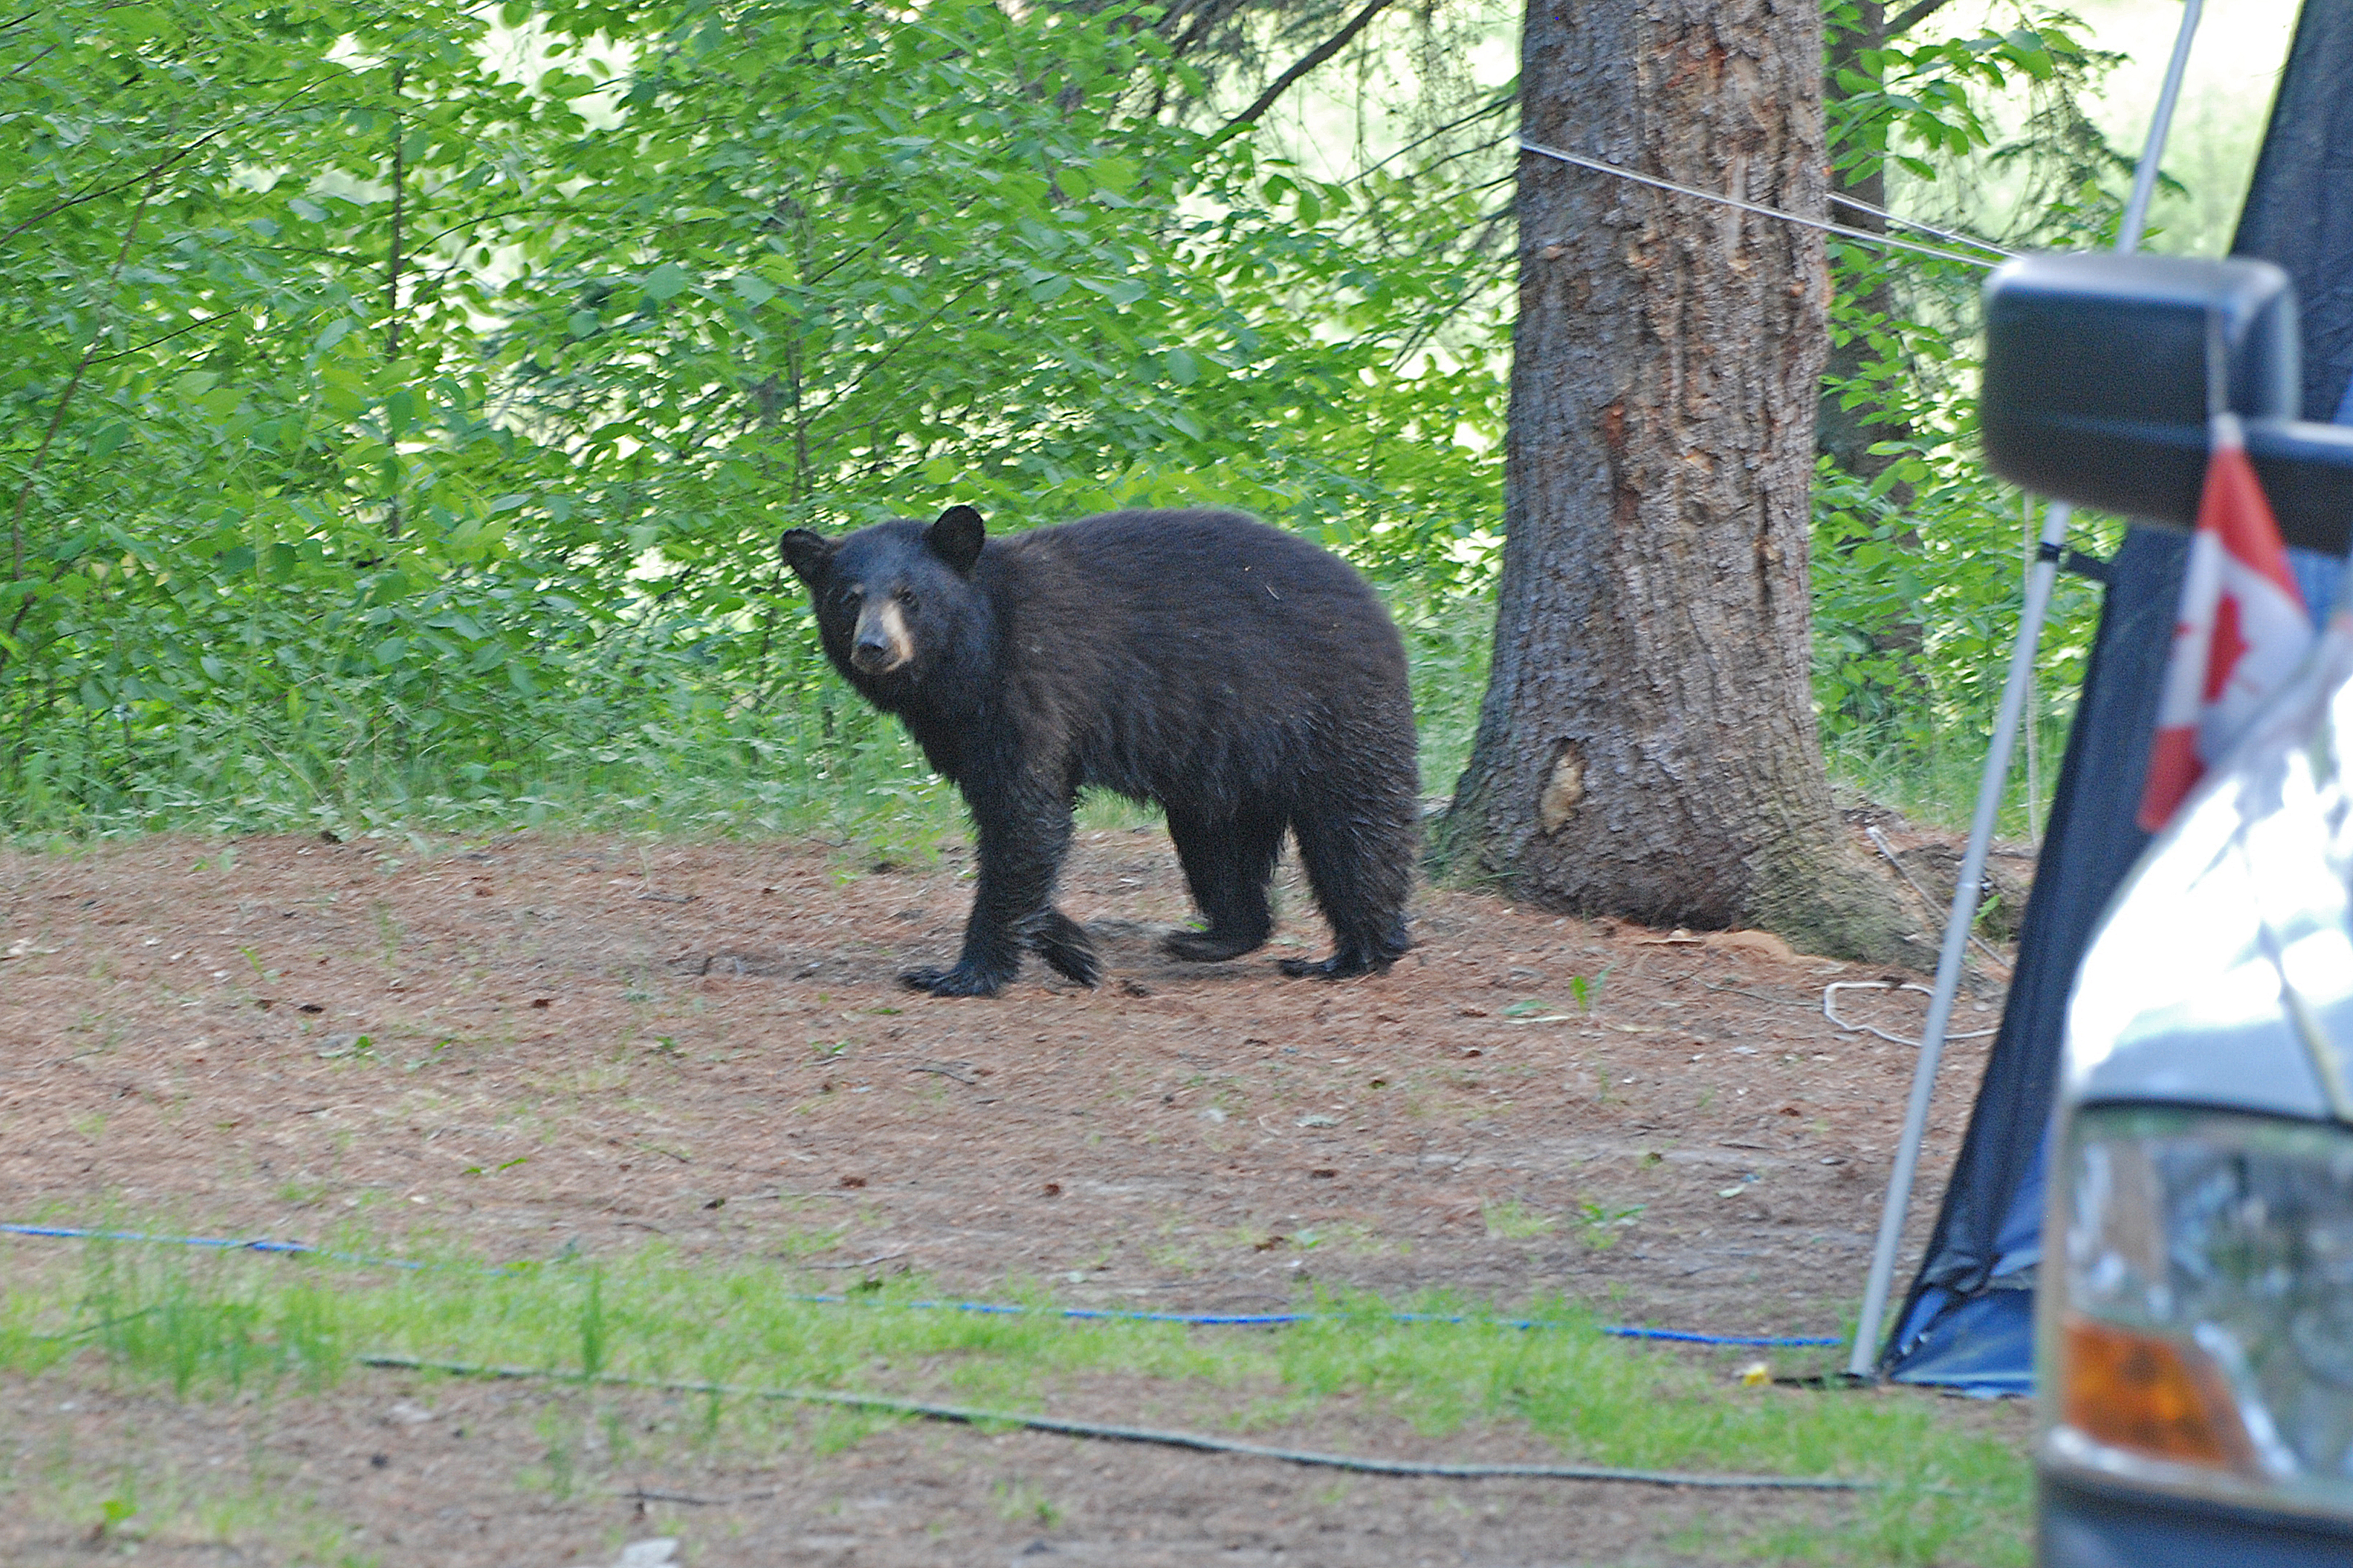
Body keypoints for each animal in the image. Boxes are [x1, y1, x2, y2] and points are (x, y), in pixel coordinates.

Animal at [778, 504, 1418, 996]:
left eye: (909, 595)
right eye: (847, 597)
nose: (873, 647)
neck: (968, 657)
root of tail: (1377, 605)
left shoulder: (1030, 688)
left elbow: (1025, 815)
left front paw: (962, 972)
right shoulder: (958, 727)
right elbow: (1015, 826)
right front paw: (1074, 947)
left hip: (1330, 710)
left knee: (1355, 832)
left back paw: (1353, 953)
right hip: (1225, 755)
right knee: (1216, 844)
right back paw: (1213, 937)